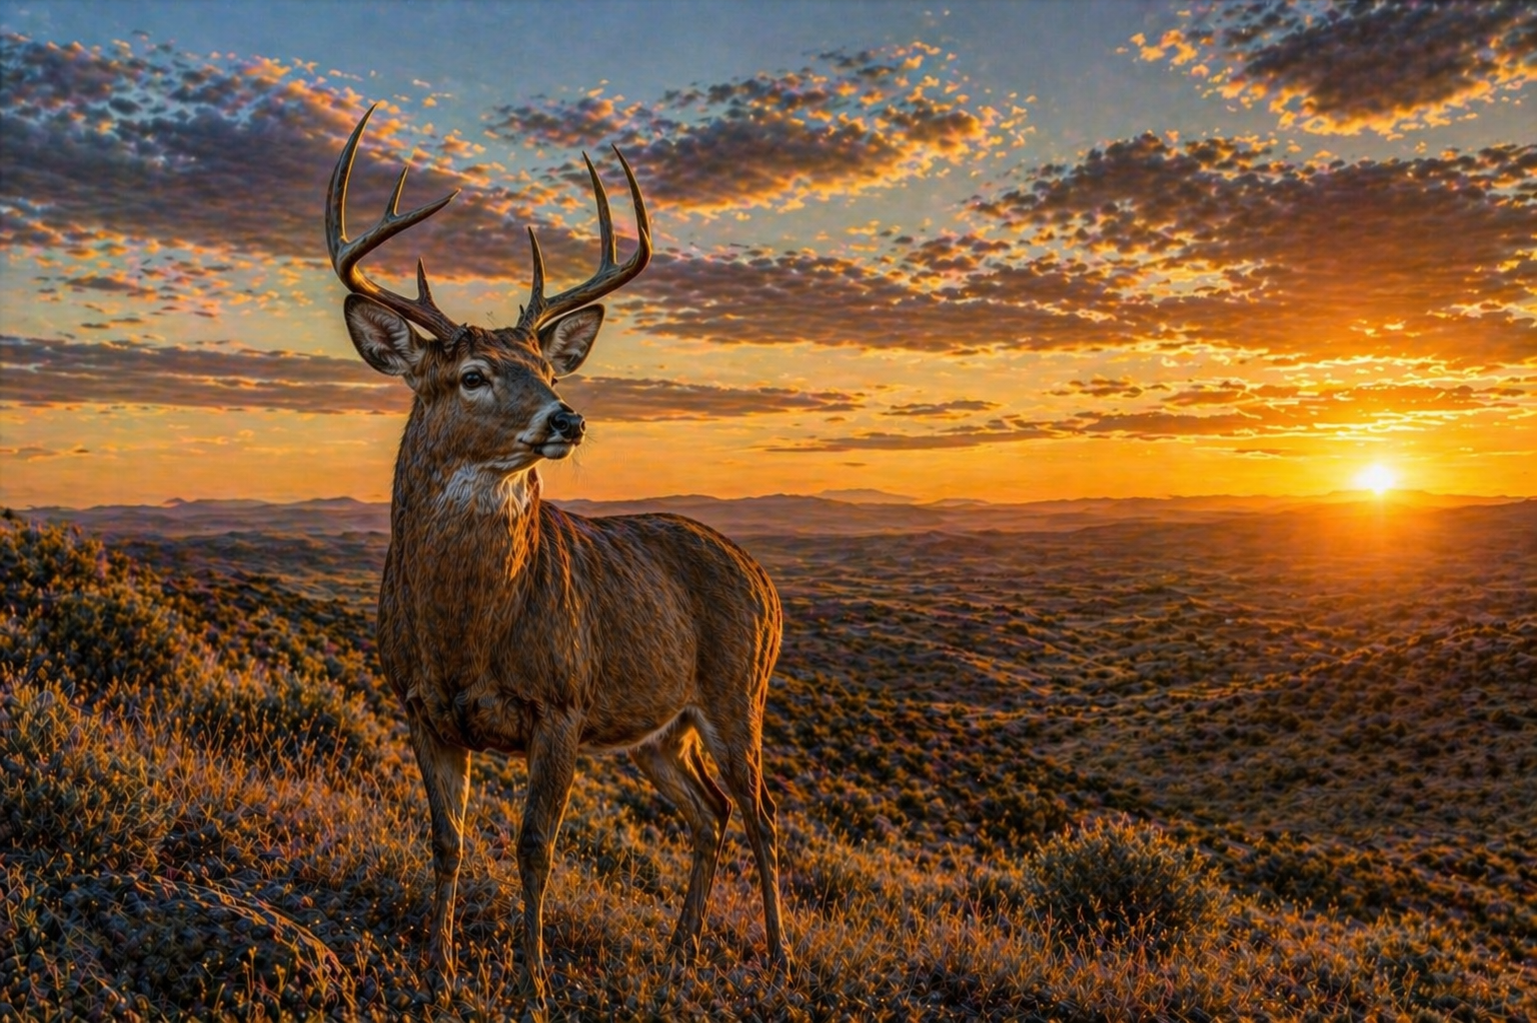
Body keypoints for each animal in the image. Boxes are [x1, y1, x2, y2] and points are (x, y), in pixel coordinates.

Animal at [325, 105, 789, 1002]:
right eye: (471, 374)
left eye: (544, 365)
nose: (565, 418)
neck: (465, 631)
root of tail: (764, 579)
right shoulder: (419, 705)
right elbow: (445, 842)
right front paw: (435, 973)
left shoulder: (562, 703)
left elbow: (535, 846)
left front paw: (531, 983)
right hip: (656, 731)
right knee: (709, 812)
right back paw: (677, 952)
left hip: (735, 691)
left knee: (761, 813)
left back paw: (785, 960)